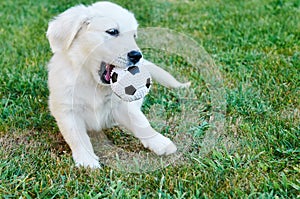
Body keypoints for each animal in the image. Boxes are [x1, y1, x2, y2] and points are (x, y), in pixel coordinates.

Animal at [46, 1, 190, 168]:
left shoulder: (120, 105)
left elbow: (140, 122)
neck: (92, 82)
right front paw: (87, 161)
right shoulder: (67, 109)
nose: (137, 56)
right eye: (112, 31)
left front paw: (159, 142)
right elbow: (77, 136)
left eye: (134, 36)